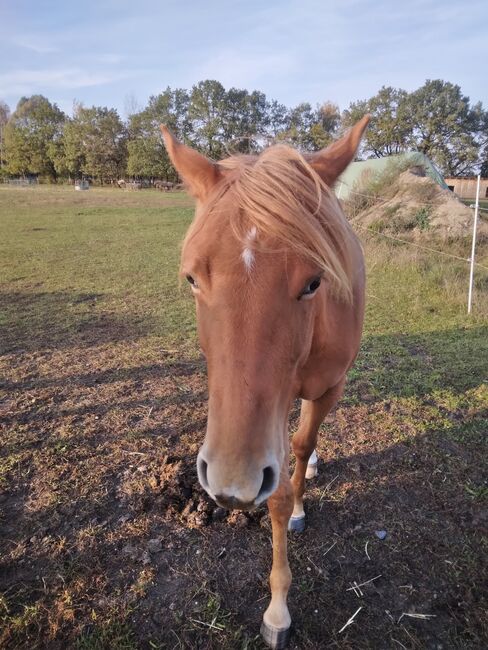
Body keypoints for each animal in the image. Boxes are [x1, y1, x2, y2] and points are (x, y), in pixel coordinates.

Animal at [160, 117, 370, 648]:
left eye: (314, 282)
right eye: (192, 279)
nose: (232, 484)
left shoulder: (326, 390)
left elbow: (299, 447)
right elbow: (276, 490)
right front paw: (278, 607)